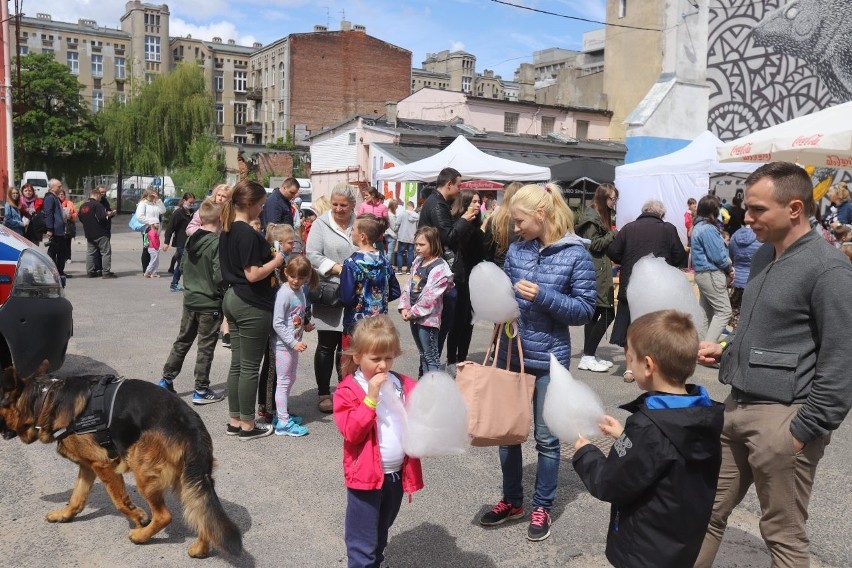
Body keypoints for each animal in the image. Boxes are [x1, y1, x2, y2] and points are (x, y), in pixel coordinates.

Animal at [0, 364, 241, 560]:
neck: (45, 398)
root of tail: (193, 426)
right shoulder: (87, 466)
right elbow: (76, 499)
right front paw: (64, 515)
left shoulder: (103, 465)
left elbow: (120, 501)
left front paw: (139, 517)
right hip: (187, 480)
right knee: (201, 513)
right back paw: (200, 549)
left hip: (143, 471)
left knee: (165, 516)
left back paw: (142, 536)